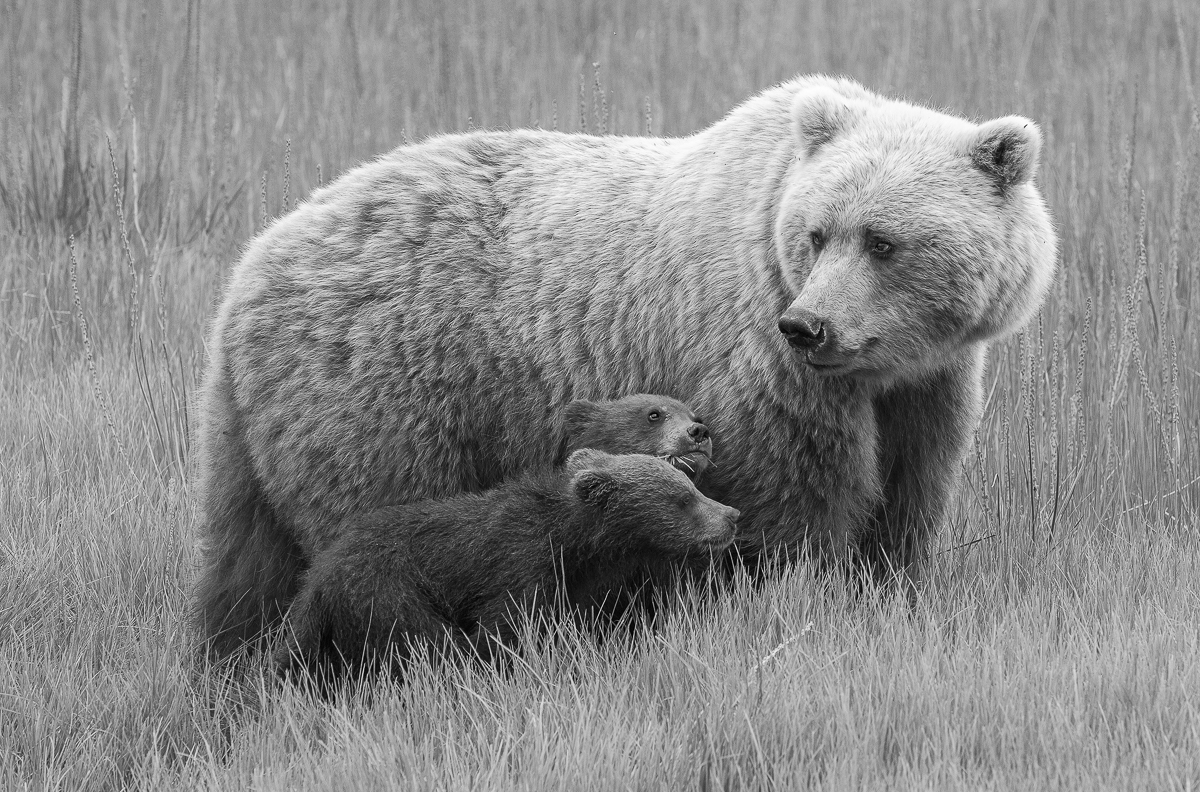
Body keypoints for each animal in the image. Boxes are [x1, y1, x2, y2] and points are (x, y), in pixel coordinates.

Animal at [275, 449, 740, 678]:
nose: (731, 515)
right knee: (428, 643)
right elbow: (502, 633)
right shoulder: (518, 566)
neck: (573, 544)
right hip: (385, 591)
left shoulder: (575, 583)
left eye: (689, 487)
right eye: (682, 499)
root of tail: (317, 578)